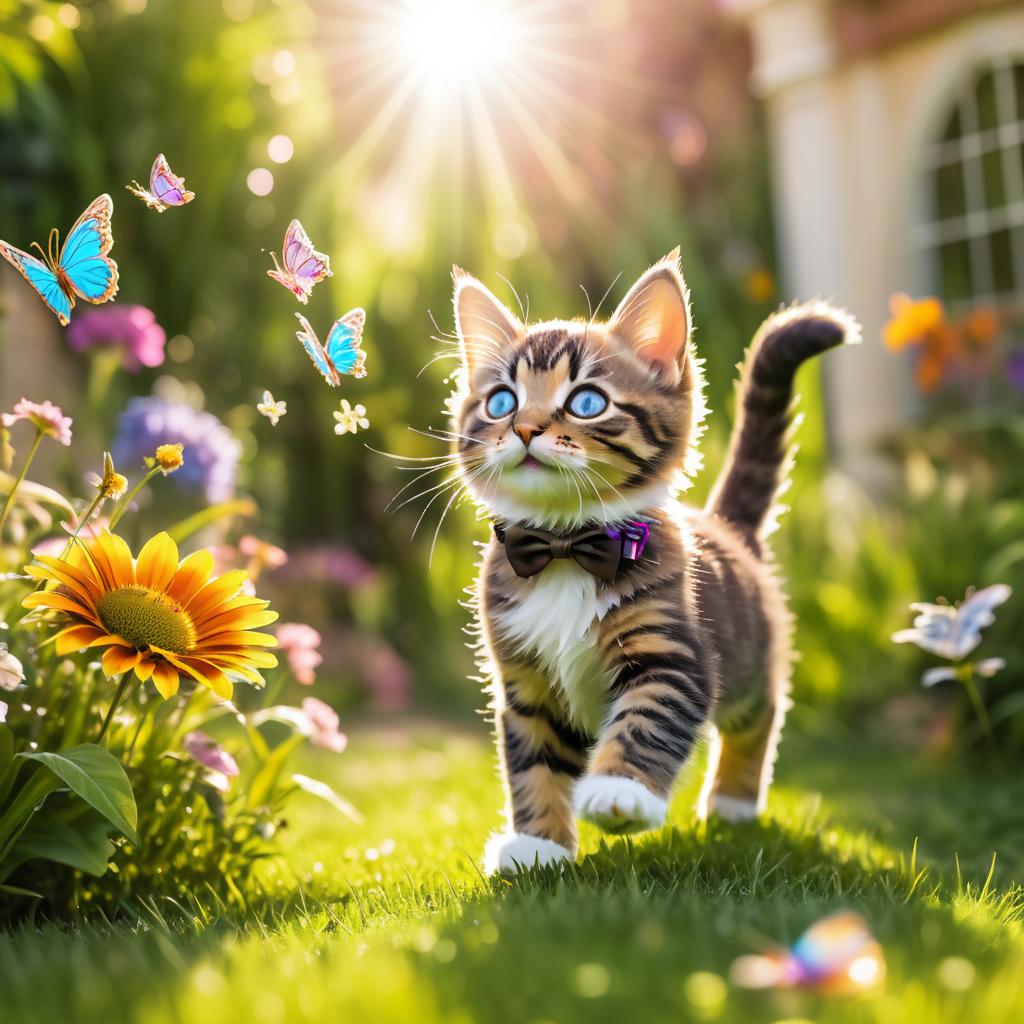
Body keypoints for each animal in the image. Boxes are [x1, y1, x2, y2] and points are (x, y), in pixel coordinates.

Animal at [448, 249, 856, 872]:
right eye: (501, 402)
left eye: (586, 402)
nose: (524, 428)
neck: (567, 549)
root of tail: (726, 525)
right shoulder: (524, 678)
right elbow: (533, 760)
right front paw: (539, 845)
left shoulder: (674, 651)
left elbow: (647, 717)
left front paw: (621, 793)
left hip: (747, 657)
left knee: (763, 711)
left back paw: (734, 801)